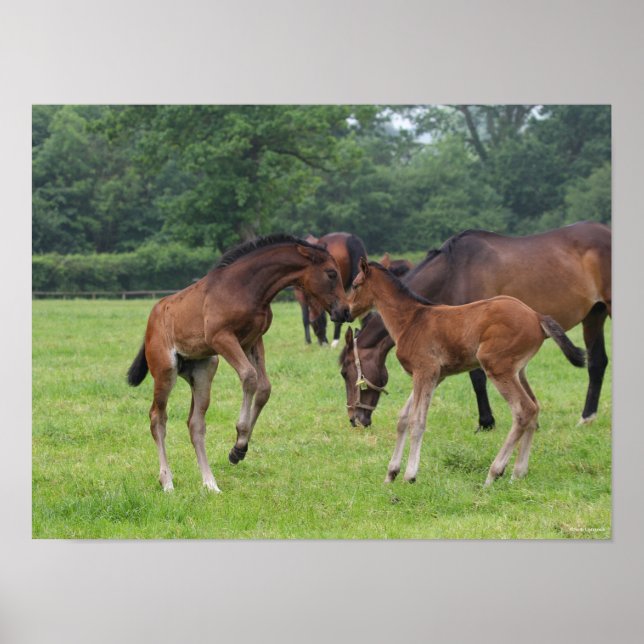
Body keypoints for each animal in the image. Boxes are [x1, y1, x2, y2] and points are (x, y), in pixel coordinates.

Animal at [127, 234, 350, 493]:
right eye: (331, 273)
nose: (345, 311)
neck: (245, 287)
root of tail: (151, 320)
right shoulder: (222, 337)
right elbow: (249, 377)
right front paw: (240, 438)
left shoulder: (253, 340)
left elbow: (264, 388)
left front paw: (238, 450)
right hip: (166, 371)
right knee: (157, 418)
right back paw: (167, 481)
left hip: (204, 370)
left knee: (195, 424)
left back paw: (210, 483)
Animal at [340, 221, 611, 428]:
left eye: (345, 372)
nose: (354, 419)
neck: (455, 271)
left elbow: (477, 378)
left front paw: (486, 421)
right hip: (594, 315)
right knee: (597, 362)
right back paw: (587, 417)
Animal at [348, 258, 586, 485]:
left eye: (355, 284)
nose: (347, 311)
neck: (411, 320)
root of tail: (537, 316)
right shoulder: (435, 376)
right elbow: (403, 418)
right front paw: (391, 474)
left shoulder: (425, 371)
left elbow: (417, 421)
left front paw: (409, 475)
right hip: (518, 371)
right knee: (535, 408)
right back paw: (518, 473)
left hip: (497, 366)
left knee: (524, 410)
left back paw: (494, 473)